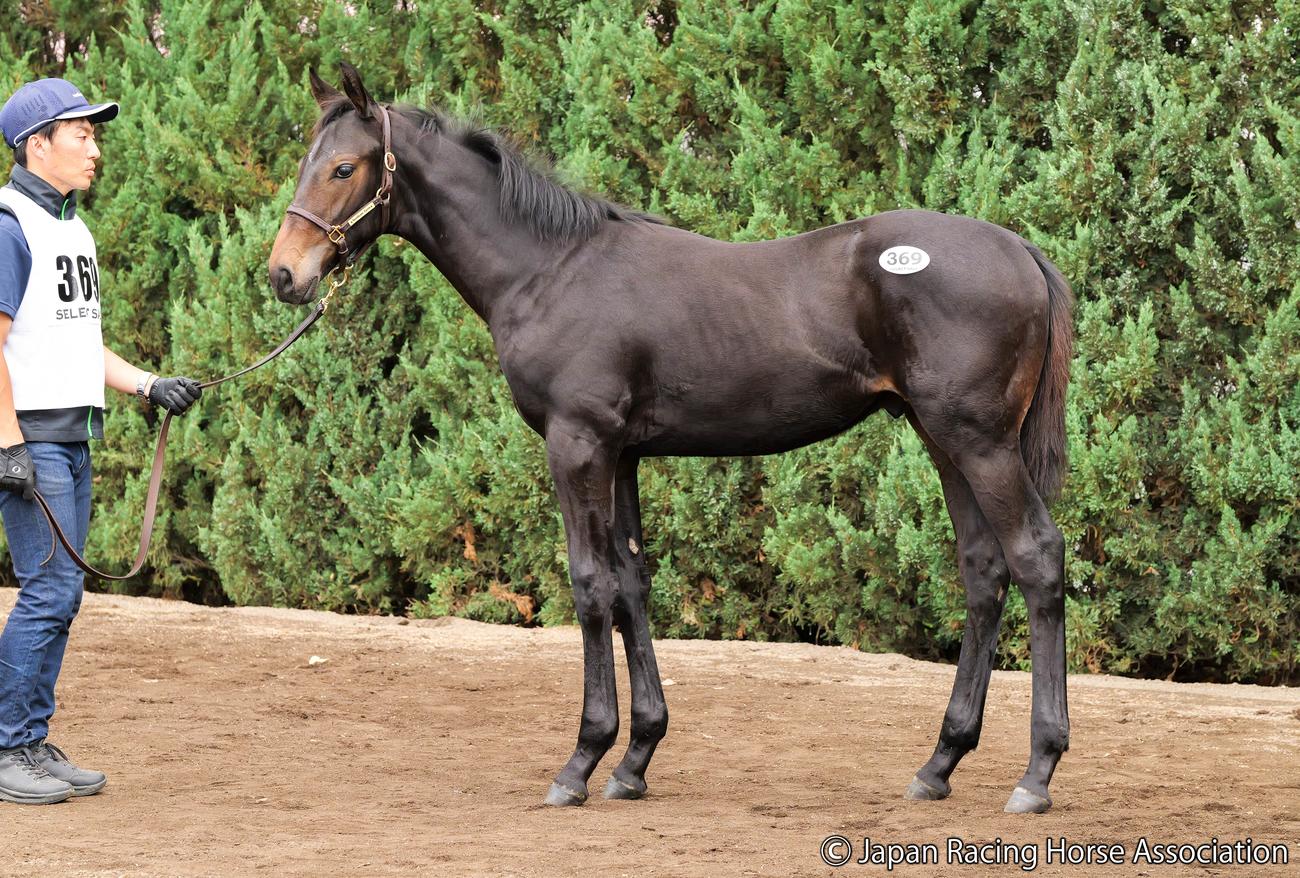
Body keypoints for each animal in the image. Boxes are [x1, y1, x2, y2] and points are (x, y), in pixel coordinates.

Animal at [268, 63, 1075, 815]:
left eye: (345, 168)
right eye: (307, 159)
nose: (283, 275)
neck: (548, 270)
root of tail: (1020, 251)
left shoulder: (577, 445)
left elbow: (590, 585)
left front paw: (581, 762)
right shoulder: (622, 454)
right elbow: (631, 585)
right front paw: (634, 760)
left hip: (979, 442)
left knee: (1035, 559)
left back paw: (1036, 773)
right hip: (942, 439)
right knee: (983, 571)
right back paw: (939, 763)